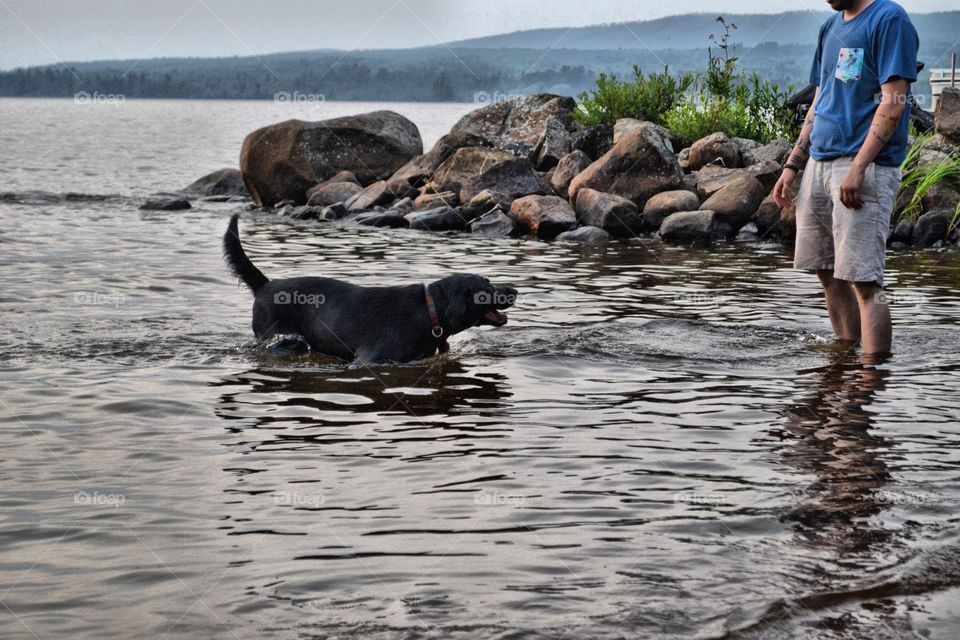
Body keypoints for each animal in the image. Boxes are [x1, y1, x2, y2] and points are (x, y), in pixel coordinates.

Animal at [223, 215, 516, 362]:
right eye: (486, 286)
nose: (514, 290)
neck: (429, 312)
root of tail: (266, 283)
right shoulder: (369, 360)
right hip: (272, 335)